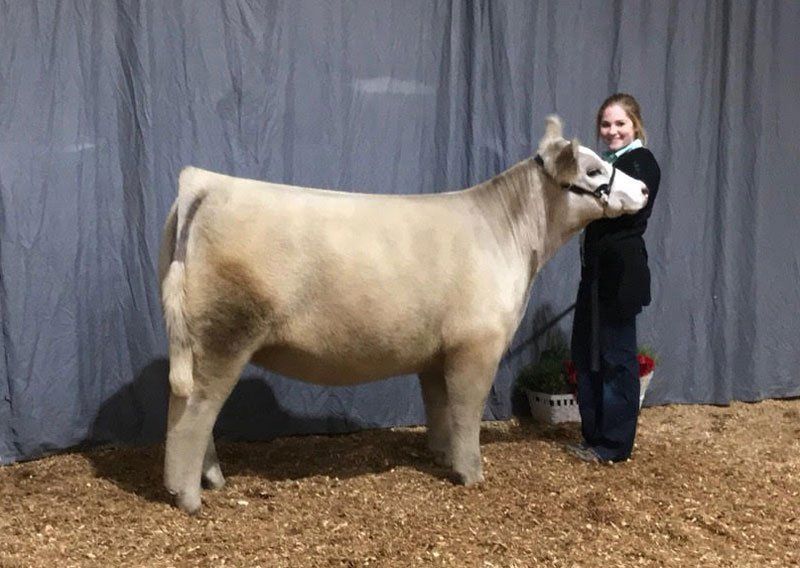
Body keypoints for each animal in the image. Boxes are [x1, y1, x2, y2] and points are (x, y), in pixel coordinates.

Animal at [158, 116, 649, 514]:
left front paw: (442, 456)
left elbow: (440, 406)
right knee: (195, 412)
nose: (644, 189)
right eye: (592, 170)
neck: (510, 235)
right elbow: (467, 407)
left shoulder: (436, 353)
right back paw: (189, 496)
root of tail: (204, 183)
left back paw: (210, 479)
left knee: (189, 406)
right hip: (225, 335)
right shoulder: (478, 344)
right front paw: (471, 473)